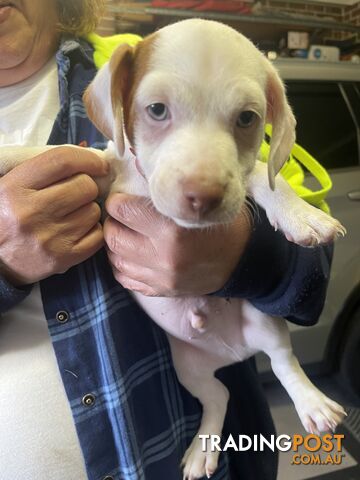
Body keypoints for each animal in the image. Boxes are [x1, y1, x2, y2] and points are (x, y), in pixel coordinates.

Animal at [1, 19, 348, 480]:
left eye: (247, 118)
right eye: (157, 110)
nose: (203, 196)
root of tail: (231, 352)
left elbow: (260, 173)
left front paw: (301, 214)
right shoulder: (103, 165)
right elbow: (58, 152)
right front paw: (8, 154)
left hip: (264, 322)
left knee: (282, 363)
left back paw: (313, 405)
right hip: (188, 368)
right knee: (219, 395)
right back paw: (203, 449)